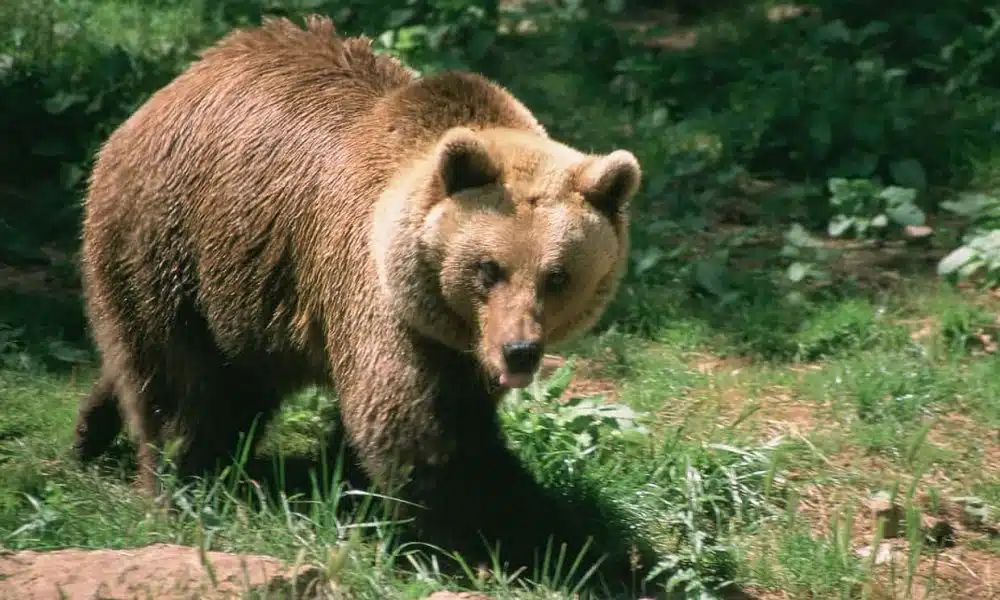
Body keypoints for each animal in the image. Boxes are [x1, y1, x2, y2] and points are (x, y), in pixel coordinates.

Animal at [73, 14, 648, 594]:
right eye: (489, 268)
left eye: (558, 276)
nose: (519, 350)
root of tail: (166, 91)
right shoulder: (377, 301)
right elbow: (421, 434)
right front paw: (545, 544)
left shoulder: (450, 345)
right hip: (174, 242)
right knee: (182, 381)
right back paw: (184, 485)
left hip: (246, 294)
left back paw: (92, 431)